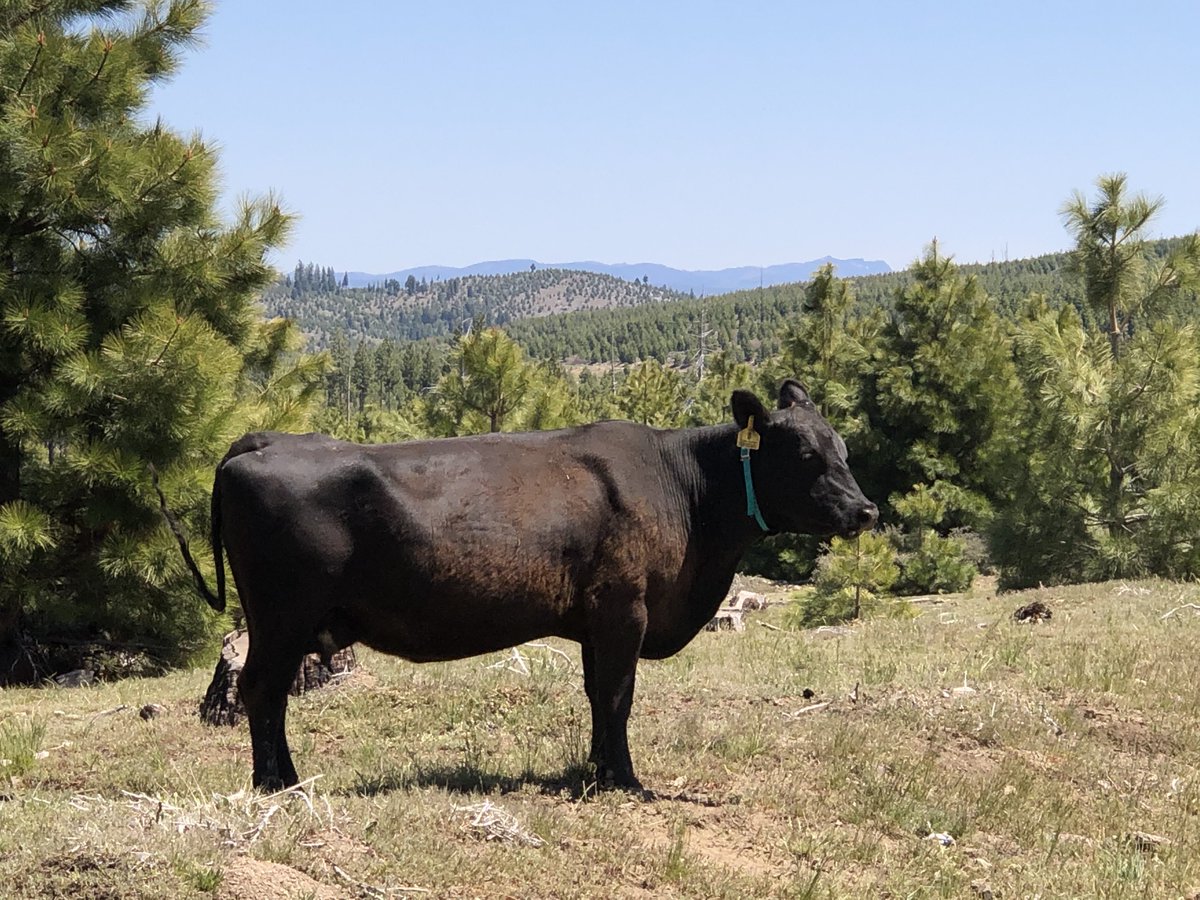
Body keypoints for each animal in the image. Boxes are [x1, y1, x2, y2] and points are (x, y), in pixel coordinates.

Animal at [163, 379, 877, 792]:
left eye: (842, 449)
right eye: (806, 456)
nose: (867, 511)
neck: (685, 490)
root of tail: (261, 442)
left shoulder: (595, 621)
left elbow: (596, 697)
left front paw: (595, 771)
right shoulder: (625, 610)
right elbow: (618, 696)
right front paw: (625, 782)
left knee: (268, 694)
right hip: (280, 616)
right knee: (261, 691)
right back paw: (277, 784)